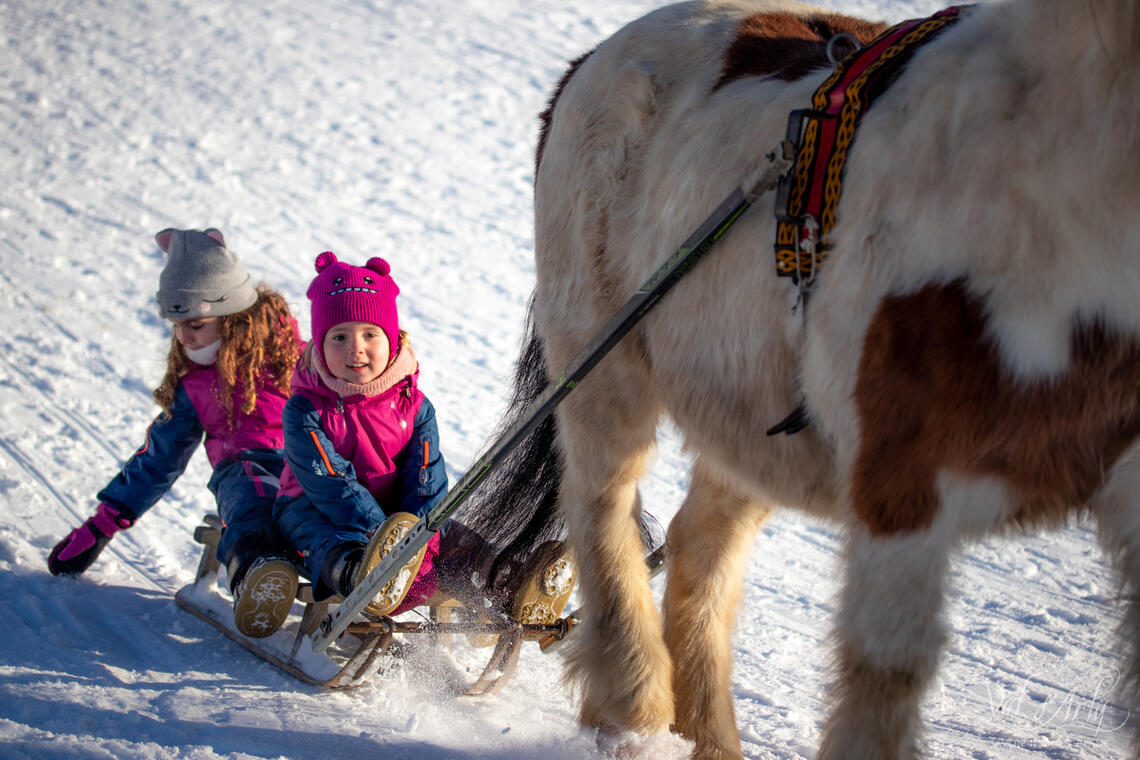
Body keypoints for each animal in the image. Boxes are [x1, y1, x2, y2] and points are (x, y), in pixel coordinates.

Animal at [458, 0, 1140, 756]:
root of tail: (590, 60)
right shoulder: (901, 479)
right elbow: (886, 672)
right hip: (602, 362)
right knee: (603, 508)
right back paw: (631, 703)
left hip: (751, 420)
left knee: (701, 545)